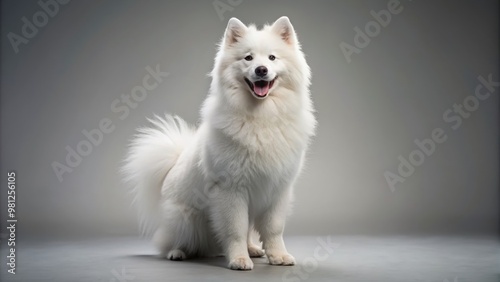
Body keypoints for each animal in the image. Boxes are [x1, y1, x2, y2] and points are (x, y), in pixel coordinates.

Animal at [122, 16, 314, 270]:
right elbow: (235, 230)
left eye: (272, 58)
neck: (261, 117)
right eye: (248, 58)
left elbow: (273, 228)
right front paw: (239, 259)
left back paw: (253, 249)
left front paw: (277, 256)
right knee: (171, 241)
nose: (261, 70)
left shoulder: (278, 189)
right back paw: (178, 252)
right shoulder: (230, 190)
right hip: (185, 219)